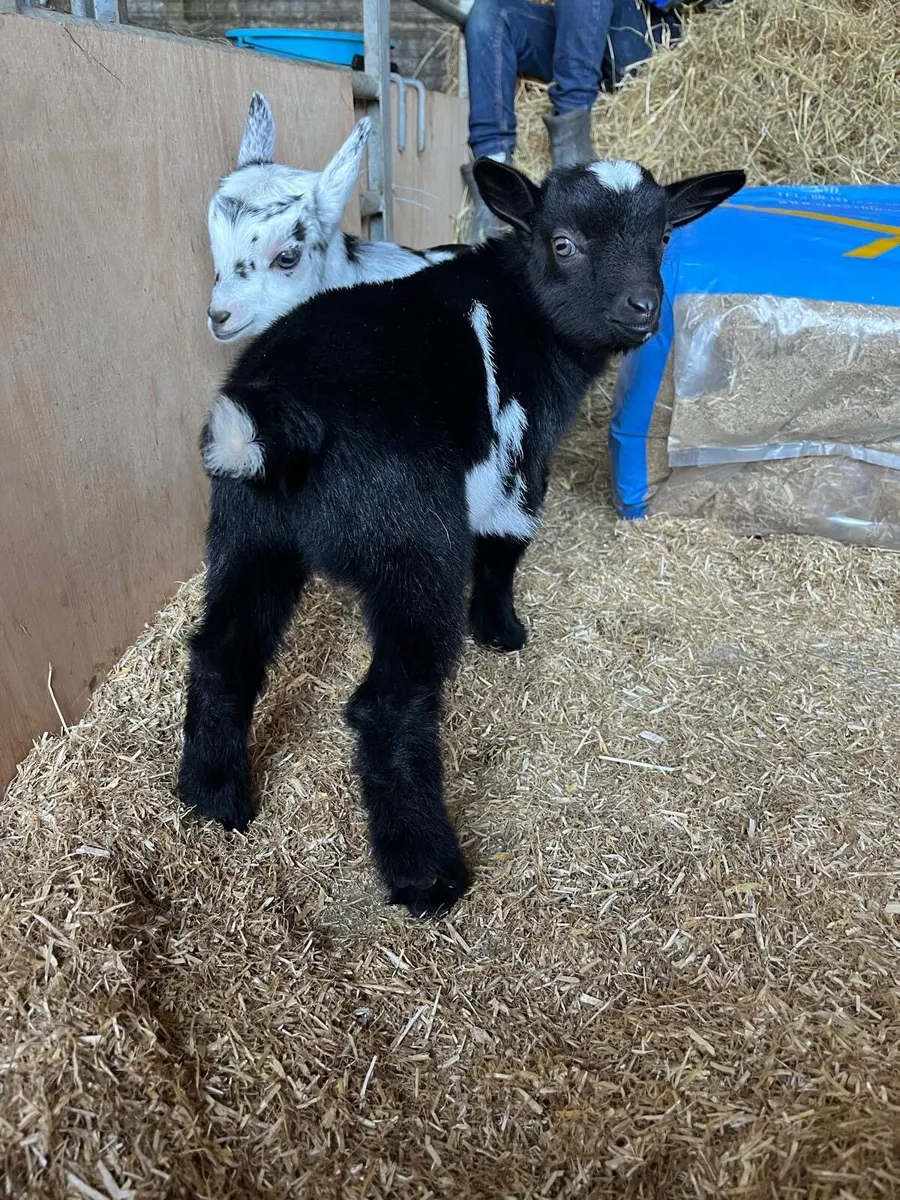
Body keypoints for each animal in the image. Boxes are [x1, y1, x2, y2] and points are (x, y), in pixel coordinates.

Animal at [180, 157, 745, 916]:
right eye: (563, 244)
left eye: (662, 238)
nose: (643, 309)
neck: (526, 313)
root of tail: (280, 424)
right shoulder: (518, 458)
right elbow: (505, 545)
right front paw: (501, 630)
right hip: (412, 541)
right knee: (387, 704)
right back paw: (426, 871)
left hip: (248, 533)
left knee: (222, 653)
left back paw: (213, 800)